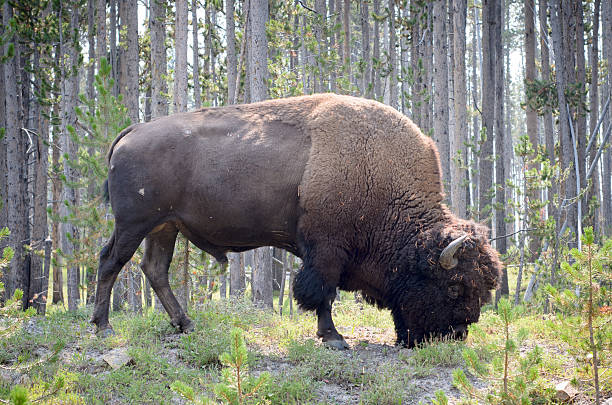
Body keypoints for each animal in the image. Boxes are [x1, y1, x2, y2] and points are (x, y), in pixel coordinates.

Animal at [91, 94, 502, 348]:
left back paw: (186, 324)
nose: (456, 335)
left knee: (154, 269)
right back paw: (103, 327)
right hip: (134, 224)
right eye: (454, 288)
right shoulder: (326, 249)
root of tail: (132, 132)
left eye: (483, 290)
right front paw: (334, 338)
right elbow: (321, 292)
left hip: (164, 227)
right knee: (111, 262)